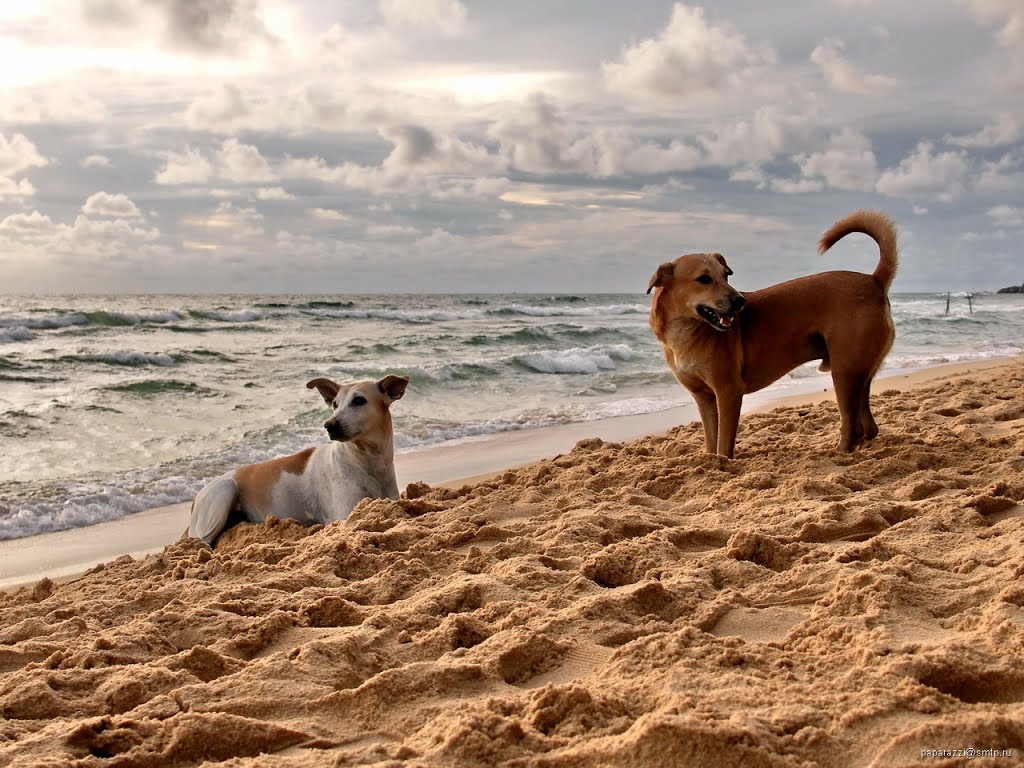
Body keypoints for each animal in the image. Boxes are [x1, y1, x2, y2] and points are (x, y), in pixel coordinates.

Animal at [188, 374, 407, 548]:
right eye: (335, 404)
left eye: (359, 400)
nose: (329, 425)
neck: (366, 461)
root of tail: (196, 500)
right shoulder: (345, 514)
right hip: (225, 490)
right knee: (200, 541)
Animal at [647, 210, 897, 460]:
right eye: (704, 279)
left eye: (726, 275)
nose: (740, 301)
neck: (686, 330)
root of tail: (873, 280)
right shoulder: (705, 399)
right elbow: (711, 442)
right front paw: (712, 462)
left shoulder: (728, 393)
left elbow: (724, 444)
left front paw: (723, 463)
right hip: (858, 372)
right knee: (868, 426)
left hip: (844, 372)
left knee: (852, 424)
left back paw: (839, 452)